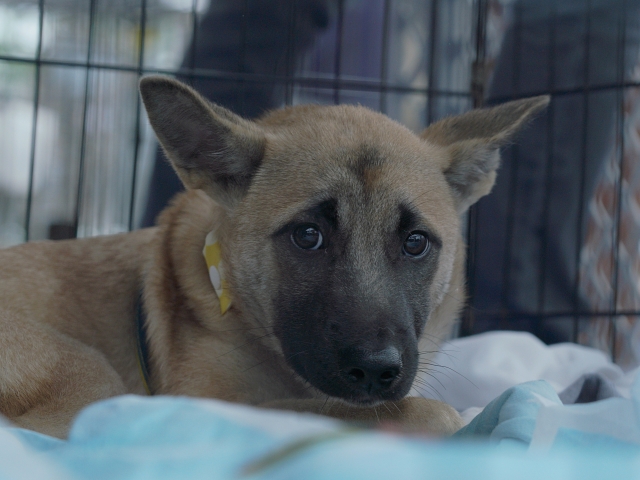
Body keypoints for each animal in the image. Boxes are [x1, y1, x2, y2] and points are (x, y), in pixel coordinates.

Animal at [0, 77, 552, 440]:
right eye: (307, 236)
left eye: (416, 242)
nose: (376, 370)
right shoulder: (203, 400)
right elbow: (411, 412)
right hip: (89, 379)